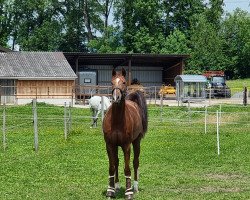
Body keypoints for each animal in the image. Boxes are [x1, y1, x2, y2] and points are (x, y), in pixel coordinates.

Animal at [102, 68, 147, 199]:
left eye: (123, 82)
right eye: (111, 83)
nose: (116, 98)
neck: (117, 121)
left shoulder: (126, 146)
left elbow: (127, 169)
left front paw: (128, 192)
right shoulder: (110, 145)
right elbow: (112, 167)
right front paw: (110, 191)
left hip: (136, 142)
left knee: (135, 163)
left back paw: (135, 187)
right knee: (116, 162)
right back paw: (116, 186)